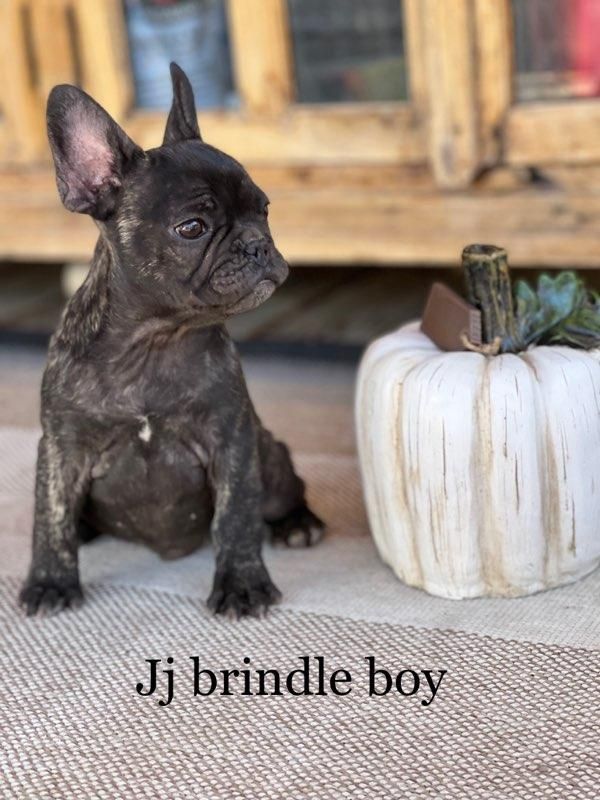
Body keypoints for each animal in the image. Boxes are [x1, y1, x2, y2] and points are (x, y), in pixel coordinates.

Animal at [19, 63, 324, 618]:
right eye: (192, 227)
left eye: (265, 210)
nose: (257, 244)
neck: (155, 338)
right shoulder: (61, 448)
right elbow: (48, 518)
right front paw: (51, 581)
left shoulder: (231, 440)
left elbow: (236, 516)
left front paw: (242, 583)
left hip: (268, 454)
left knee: (280, 493)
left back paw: (298, 524)